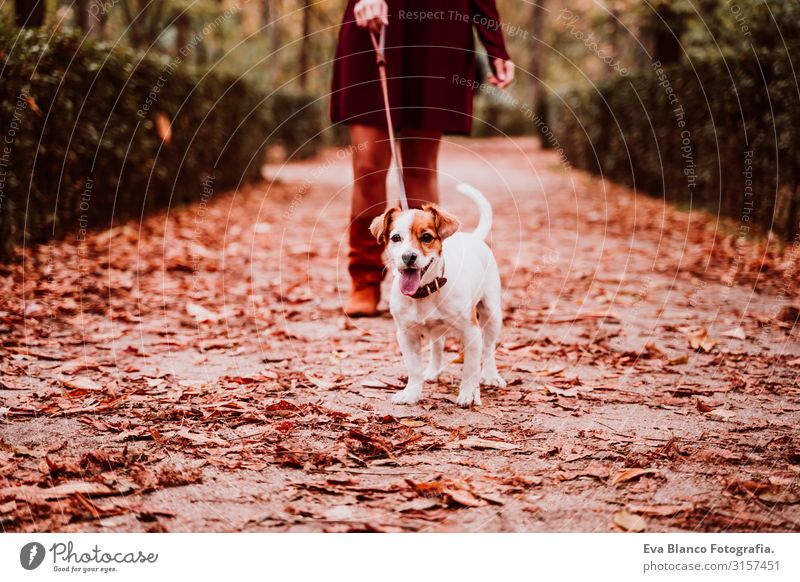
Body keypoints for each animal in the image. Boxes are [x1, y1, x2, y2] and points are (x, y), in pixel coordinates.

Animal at [370, 185, 506, 408]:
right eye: (395, 238)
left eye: (427, 237)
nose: (408, 256)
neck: (424, 292)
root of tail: (473, 237)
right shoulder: (406, 334)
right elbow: (414, 369)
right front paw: (411, 393)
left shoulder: (471, 332)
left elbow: (470, 368)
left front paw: (468, 394)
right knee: (438, 345)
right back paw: (433, 371)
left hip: (492, 313)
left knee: (488, 348)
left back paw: (491, 375)